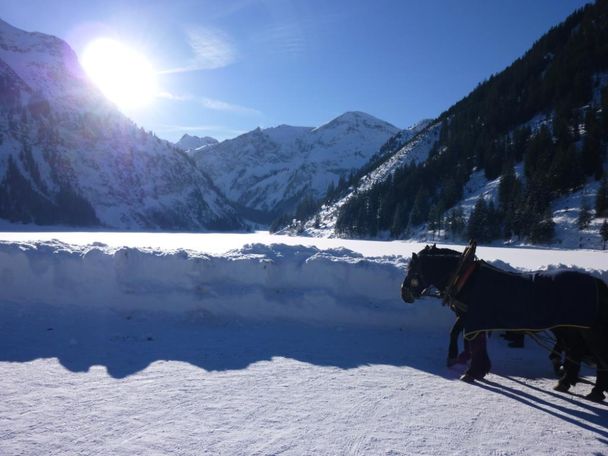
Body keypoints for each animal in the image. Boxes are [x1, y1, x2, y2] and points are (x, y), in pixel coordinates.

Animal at [400, 244, 608, 400]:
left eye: (412, 270)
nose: (404, 294)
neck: (465, 277)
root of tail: (596, 282)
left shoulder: (473, 317)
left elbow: (466, 338)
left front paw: (470, 369)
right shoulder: (472, 318)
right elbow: (467, 338)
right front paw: (470, 363)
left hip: (583, 331)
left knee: (596, 356)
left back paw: (593, 390)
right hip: (570, 329)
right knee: (577, 351)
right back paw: (569, 382)